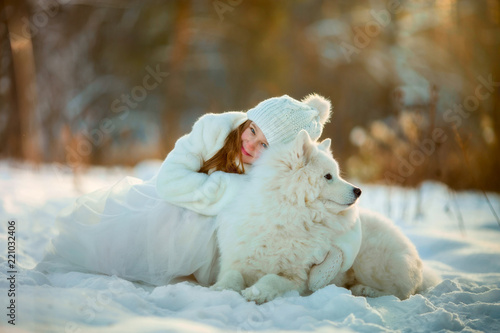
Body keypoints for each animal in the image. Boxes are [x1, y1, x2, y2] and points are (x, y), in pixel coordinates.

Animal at [211, 131, 434, 302]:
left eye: (337, 174)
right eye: (328, 176)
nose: (358, 191)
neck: (287, 216)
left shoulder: (296, 277)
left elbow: (271, 279)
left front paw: (257, 292)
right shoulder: (237, 261)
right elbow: (231, 276)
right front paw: (219, 289)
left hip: (370, 263)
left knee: (399, 292)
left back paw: (364, 290)